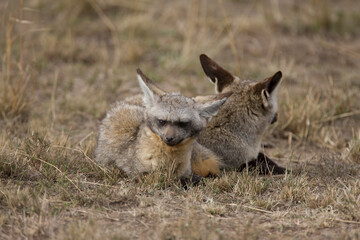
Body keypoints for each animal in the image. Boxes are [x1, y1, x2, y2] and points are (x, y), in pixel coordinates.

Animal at [94, 68, 232, 181]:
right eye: (162, 121)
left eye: (183, 123)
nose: (169, 138)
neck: (169, 161)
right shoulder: (139, 173)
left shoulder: (185, 171)